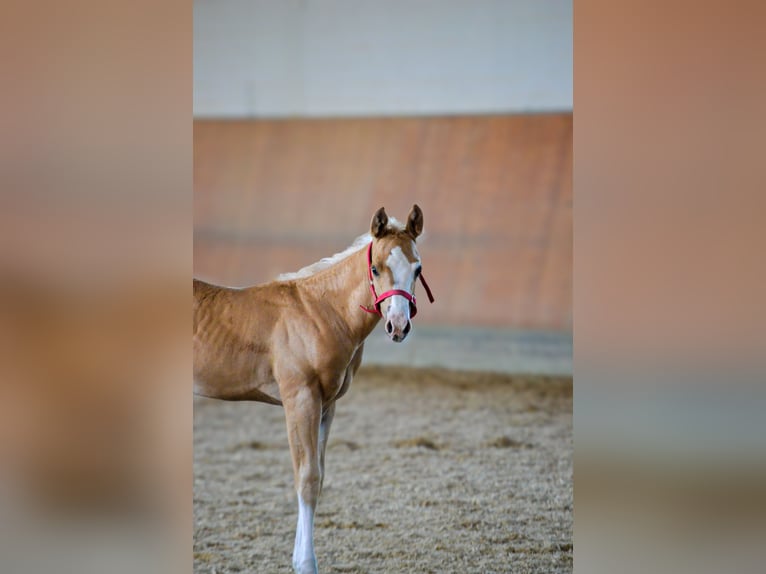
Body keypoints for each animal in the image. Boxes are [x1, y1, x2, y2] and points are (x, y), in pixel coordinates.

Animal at [193, 205, 434, 573]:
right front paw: (306, 563)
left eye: (417, 269)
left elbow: (318, 478)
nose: (398, 326)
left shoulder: (327, 404)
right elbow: (306, 478)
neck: (322, 312)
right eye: (376, 268)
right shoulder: (301, 398)